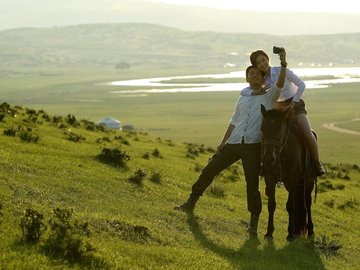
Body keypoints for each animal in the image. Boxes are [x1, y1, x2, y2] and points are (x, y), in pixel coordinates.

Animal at [258, 104, 316, 240]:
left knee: (308, 204)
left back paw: (310, 230)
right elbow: (271, 205)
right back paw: (296, 230)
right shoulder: (270, 178)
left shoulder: (293, 178)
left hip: (308, 182)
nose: (268, 159)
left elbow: (290, 205)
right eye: (262, 129)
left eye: (279, 130)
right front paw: (269, 232)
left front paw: (290, 234)